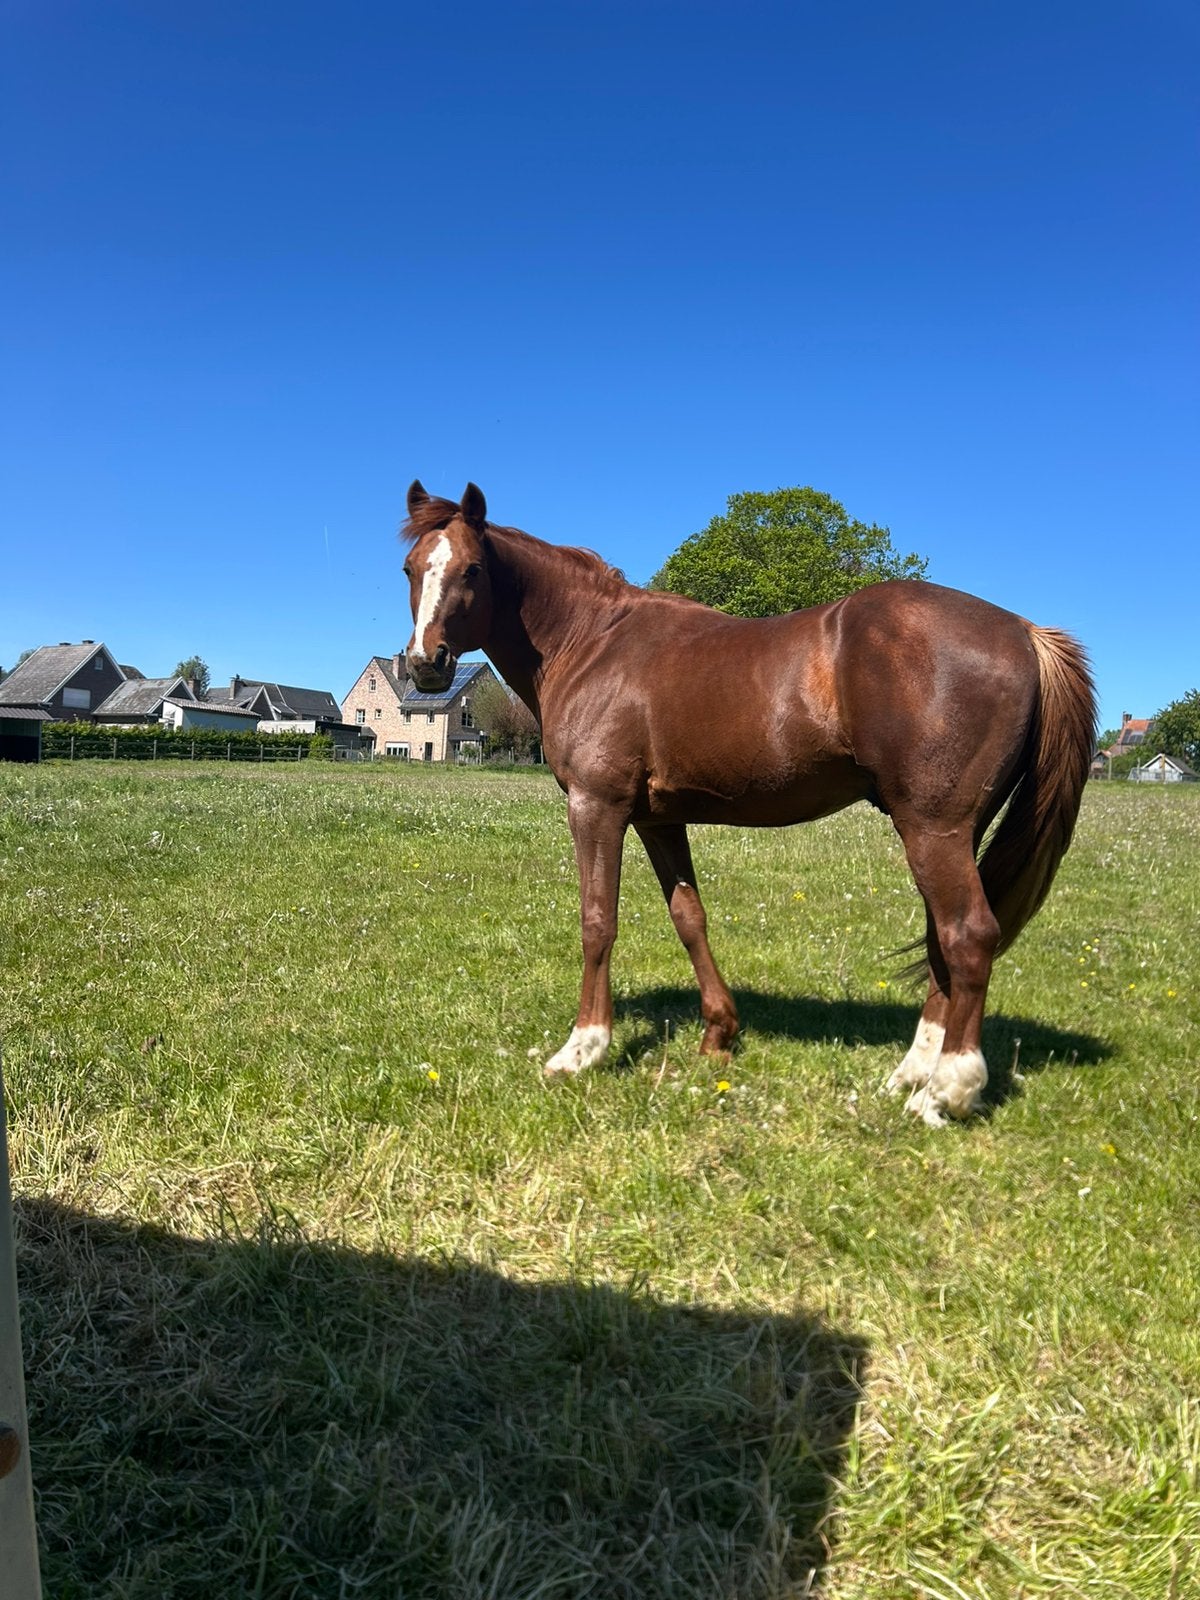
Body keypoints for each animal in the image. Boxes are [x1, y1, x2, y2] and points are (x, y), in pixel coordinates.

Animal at [400, 481, 1095, 1126]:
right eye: (410, 568)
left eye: (473, 569)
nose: (426, 665)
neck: (592, 642)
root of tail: (1024, 632)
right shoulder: (659, 820)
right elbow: (689, 918)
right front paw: (718, 1033)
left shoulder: (598, 808)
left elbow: (598, 921)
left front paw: (583, 1049)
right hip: (948, 833)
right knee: (941, 940)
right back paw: (912, 1072)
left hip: (935, 830)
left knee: (968, 936)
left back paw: (946, 1091)